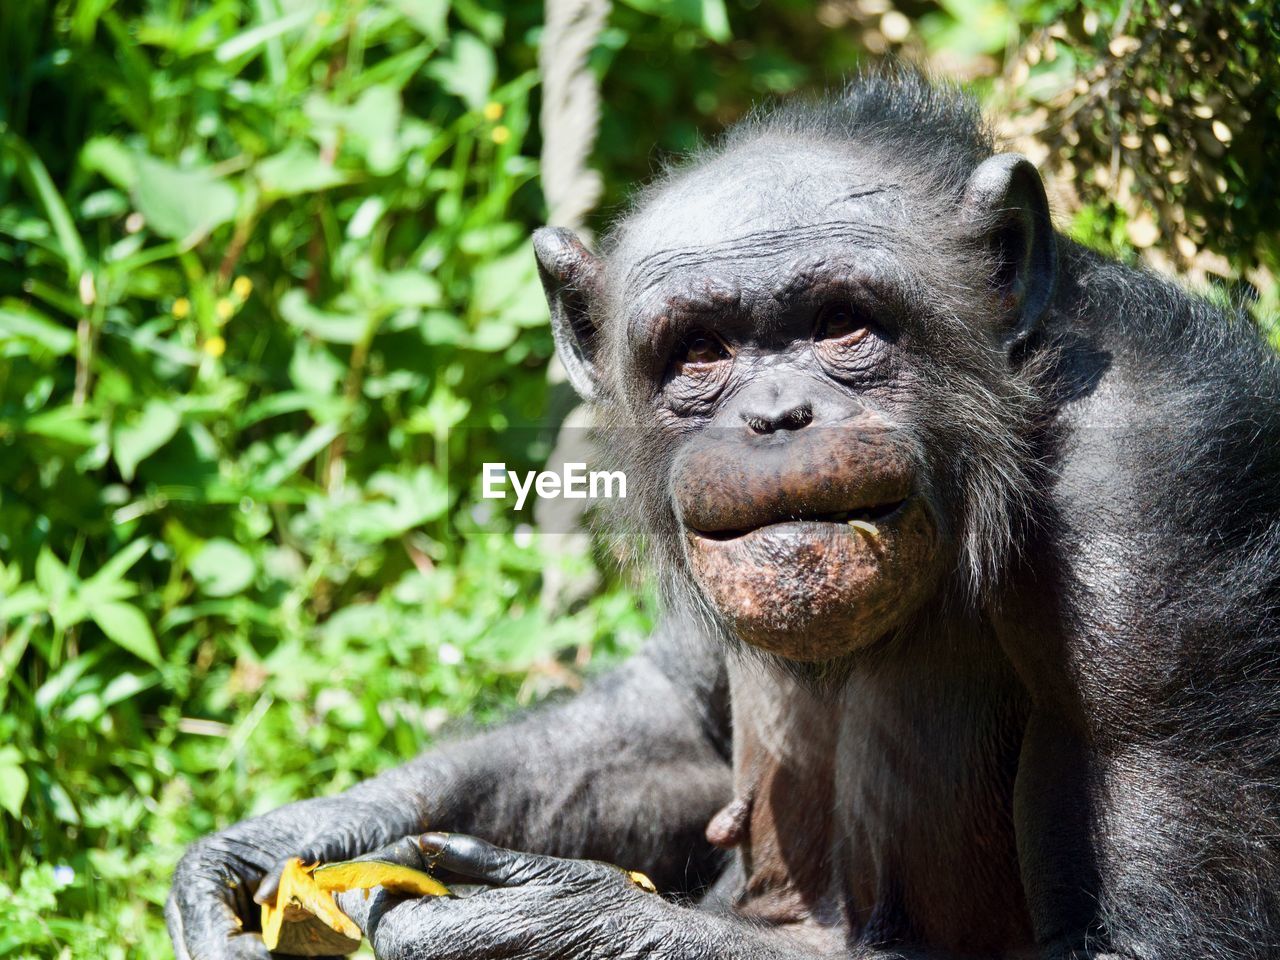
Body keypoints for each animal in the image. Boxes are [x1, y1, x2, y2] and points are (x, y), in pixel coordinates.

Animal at [165, 69, 1280, 960]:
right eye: (700, 351)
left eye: (844, 326)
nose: (775, 415)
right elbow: (677, 717)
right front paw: (282, 845)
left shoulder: (1159, 491)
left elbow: (1160, 936)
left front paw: (558, 928)